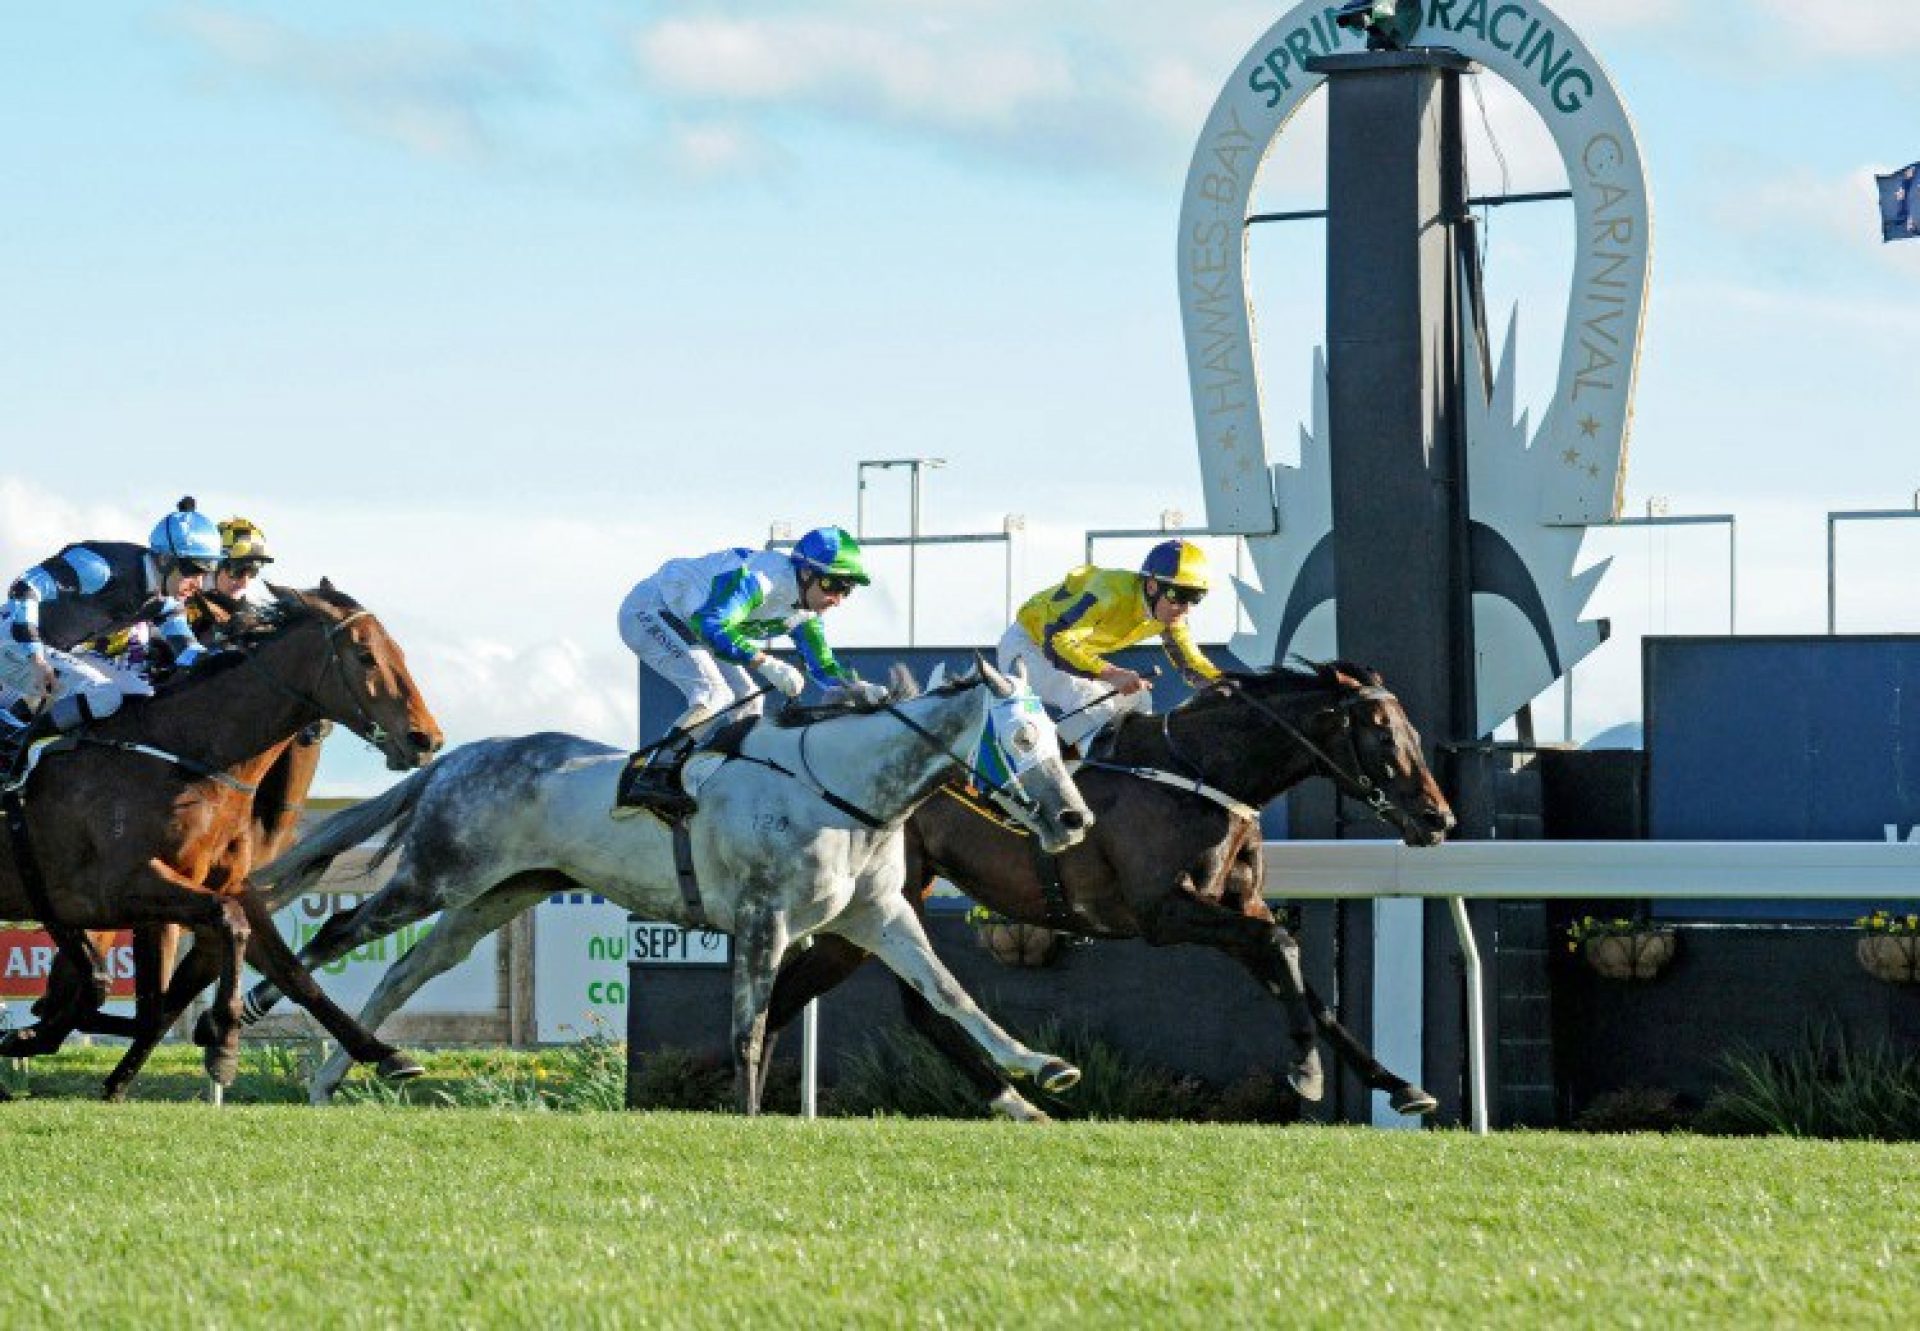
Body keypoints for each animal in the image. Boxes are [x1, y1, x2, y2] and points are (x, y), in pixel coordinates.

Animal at [0, 580, 439, 1090]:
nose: (427, 739)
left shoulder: (227, 885)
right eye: (366, 655)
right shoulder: (115, 890)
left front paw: (383, 1052)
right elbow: (224, 927)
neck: (186, 758)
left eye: (399, 650)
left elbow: (288, 969)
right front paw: (222, 1043)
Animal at [245, 660, 1090, 1106]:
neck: (842, 789)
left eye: (1059, 740)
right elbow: (751, 1026)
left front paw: (1041, 1066)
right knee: (338, 933)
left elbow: (951, 993)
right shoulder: (763, 919)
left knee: (405, 971)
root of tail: (458, 756)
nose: (1074, 817)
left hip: (491, 899)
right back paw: (260, 1005)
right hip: (435, 876)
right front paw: (744, 1111)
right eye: (1020, 736)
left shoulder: (879, 917)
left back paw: (339, 1074)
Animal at [760, 660, 1451, 1113]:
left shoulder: (1234, 904)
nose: (1438, 819)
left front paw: (1401, 1086)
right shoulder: (1162, 912)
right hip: (868, 906)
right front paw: (1306, 1073)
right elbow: (1281, 946)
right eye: (1383, 735)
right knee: (808, 993)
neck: (1201, 771)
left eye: (1416, 733)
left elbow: (1306, 984)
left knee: (904, 1004)